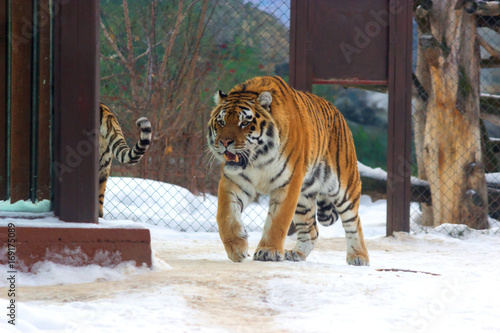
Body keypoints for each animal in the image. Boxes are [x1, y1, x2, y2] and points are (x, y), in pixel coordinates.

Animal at [205, 75, 370, 264]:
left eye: (245, 122)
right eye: (221, 122)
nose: (224, 142)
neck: (258, 159)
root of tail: (339, 114)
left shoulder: (288, 182)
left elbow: (278, 221)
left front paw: (268, 251)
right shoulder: (234, 181)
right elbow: (226, 215)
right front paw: (236, 247)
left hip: (343, 188)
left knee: (354, 222)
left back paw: (358, 257)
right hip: (303, 198)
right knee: (311, 230)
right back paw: (296, 254)